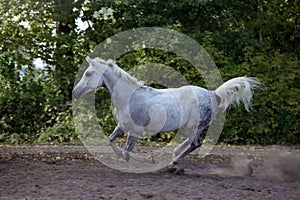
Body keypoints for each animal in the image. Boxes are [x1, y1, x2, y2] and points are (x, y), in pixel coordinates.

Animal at [72, 56, 262, 169]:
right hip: (195, 127)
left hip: (193, 126)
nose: (74, 92)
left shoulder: (135, 130)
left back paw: (173, 163)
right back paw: (175, 155)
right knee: (192, 142)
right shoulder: (122, 126)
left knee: (196, 144)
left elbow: (127, 151)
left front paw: (149, 160)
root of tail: (213, 94)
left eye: (88, 73)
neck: (129, 97)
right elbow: (111, 141)